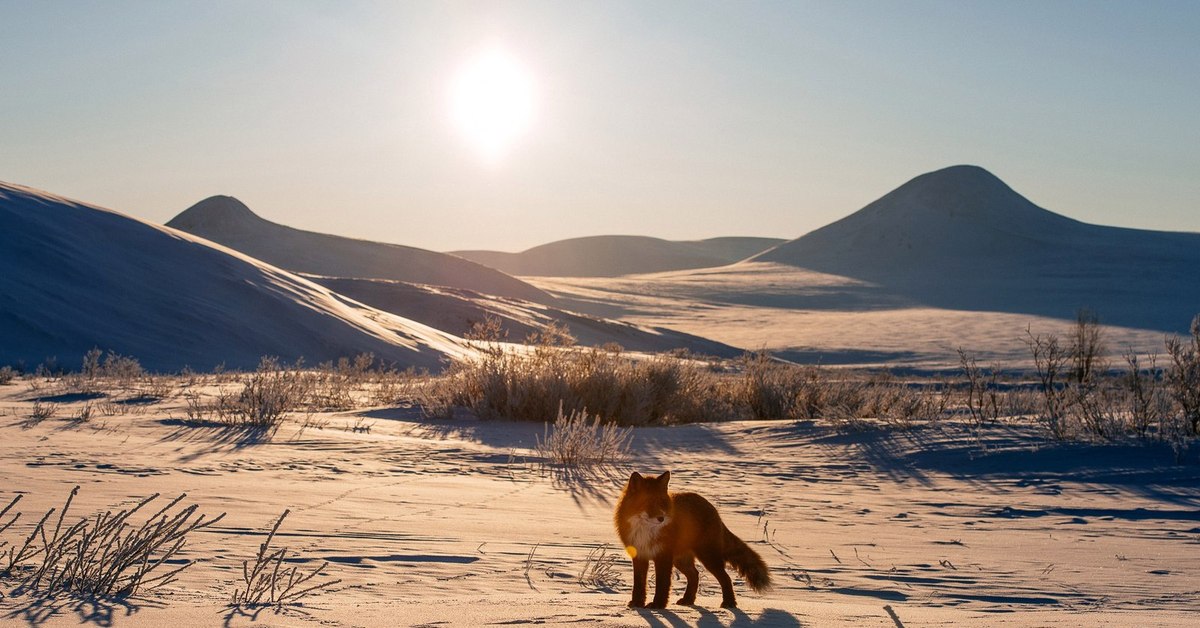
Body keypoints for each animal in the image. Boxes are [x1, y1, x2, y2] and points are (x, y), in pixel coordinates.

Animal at [614, 470, 772, 609]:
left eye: (662, 502)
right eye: (647, 502)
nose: (661, 518)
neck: (645, 531)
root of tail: (711, 507)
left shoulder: (663, 556)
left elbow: (662, 584)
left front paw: (658, 605)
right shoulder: (639, 555)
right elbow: (639, 584)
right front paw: (637, 603)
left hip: (708, 558)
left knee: (725, 578)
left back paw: (729, 603)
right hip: (681, 560)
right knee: (695, 575)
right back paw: (688, 600)